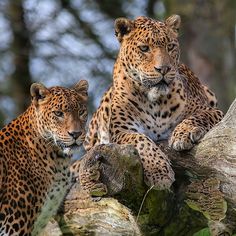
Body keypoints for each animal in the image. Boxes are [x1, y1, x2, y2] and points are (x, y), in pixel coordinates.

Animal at [85, 15, 223, 190]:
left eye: (170, 47)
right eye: (144, 48)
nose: (163, 69)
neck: (154, 101)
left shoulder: (213, 110)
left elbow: (197, 116)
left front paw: (182, 134)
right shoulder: (121, 131)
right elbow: (141, 141)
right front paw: (159, 172)